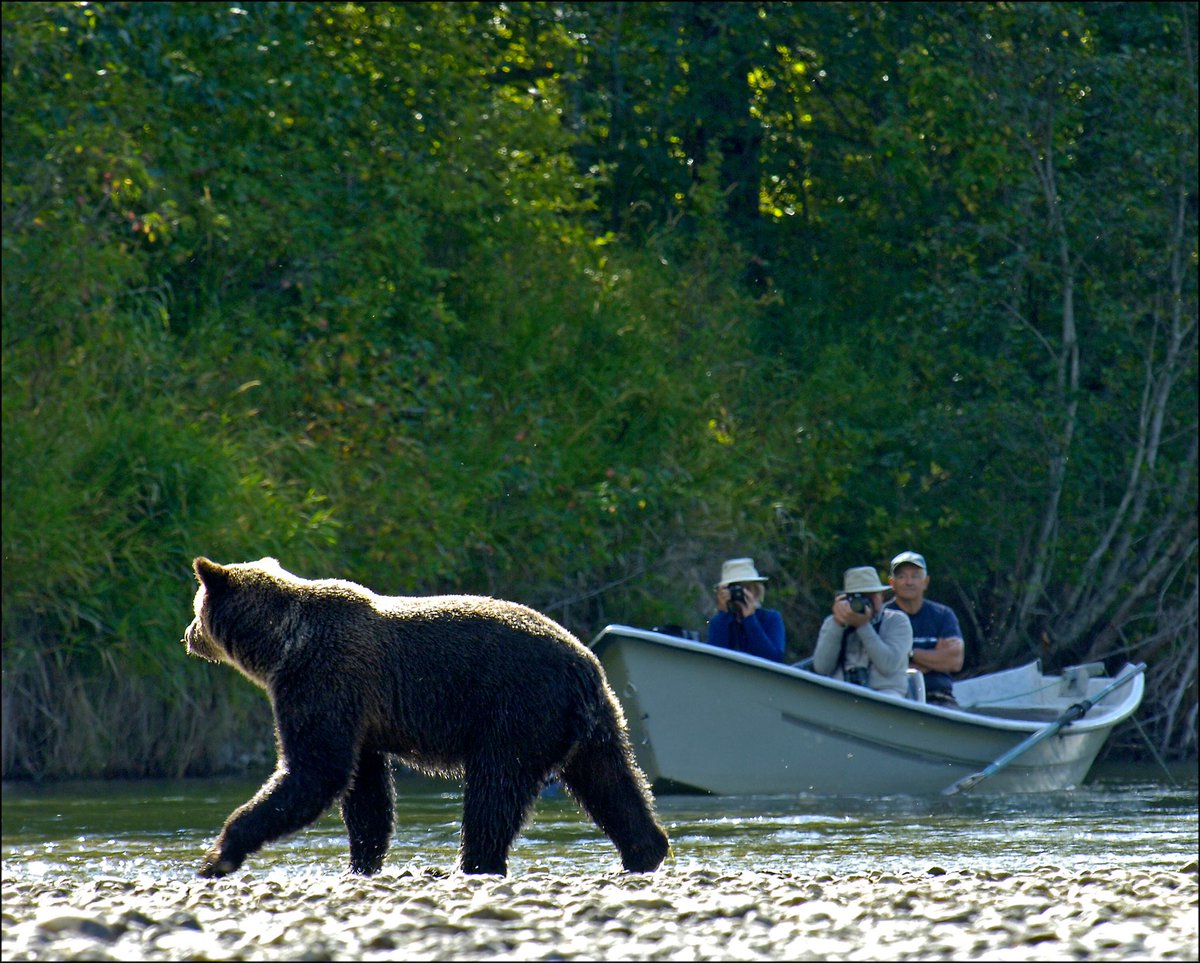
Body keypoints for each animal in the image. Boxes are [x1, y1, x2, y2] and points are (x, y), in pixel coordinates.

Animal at [181, 556, 670, 878]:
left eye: (195, 606)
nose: (188, 636)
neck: (281, 646)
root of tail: (585, 665)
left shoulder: (322, 682)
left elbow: (315, 771)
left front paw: (219, 854)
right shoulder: (362, 716)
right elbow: (365, 791)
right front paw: (363, 861)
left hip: (516, 710)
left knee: (494, 790)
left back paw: (474, 863)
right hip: (595, 722)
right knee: (612, 782)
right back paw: (645, 850)